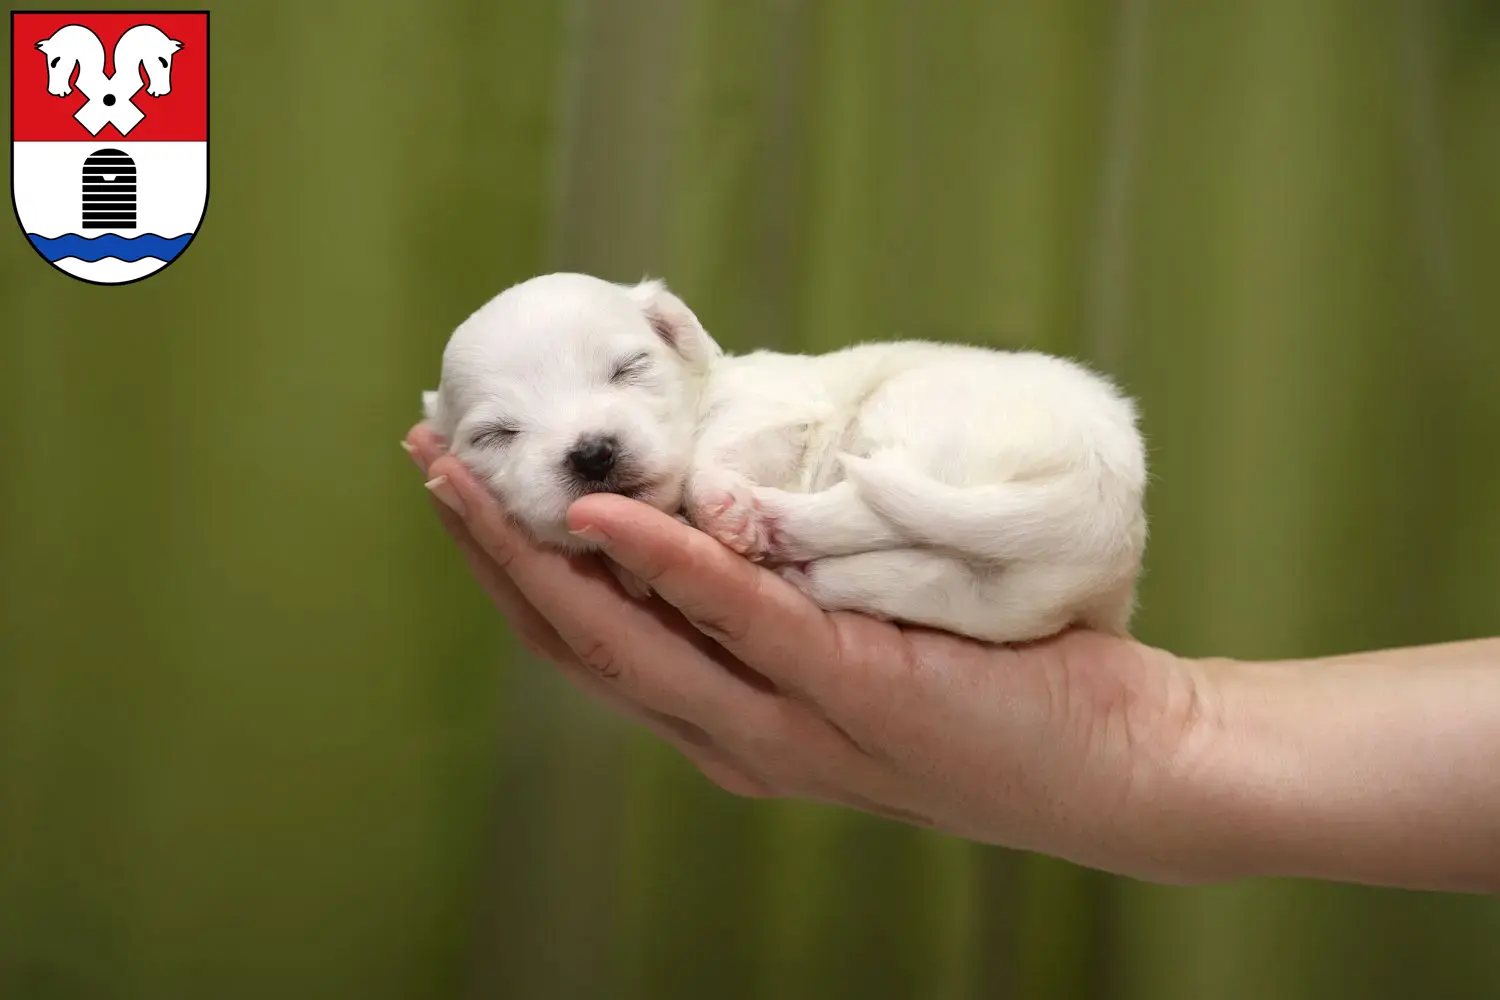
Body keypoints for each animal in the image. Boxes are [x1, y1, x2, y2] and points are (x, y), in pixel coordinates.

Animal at [423, 274, 1146, 644]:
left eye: (629, 367)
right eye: (495, 435)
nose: (592, 454)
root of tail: (1098, 492)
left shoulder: (770, 412)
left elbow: (718, 452)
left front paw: (718, 504)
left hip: (918, 420)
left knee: (861, 505)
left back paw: (764, 523)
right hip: (1000, 601)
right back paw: (809, 568)